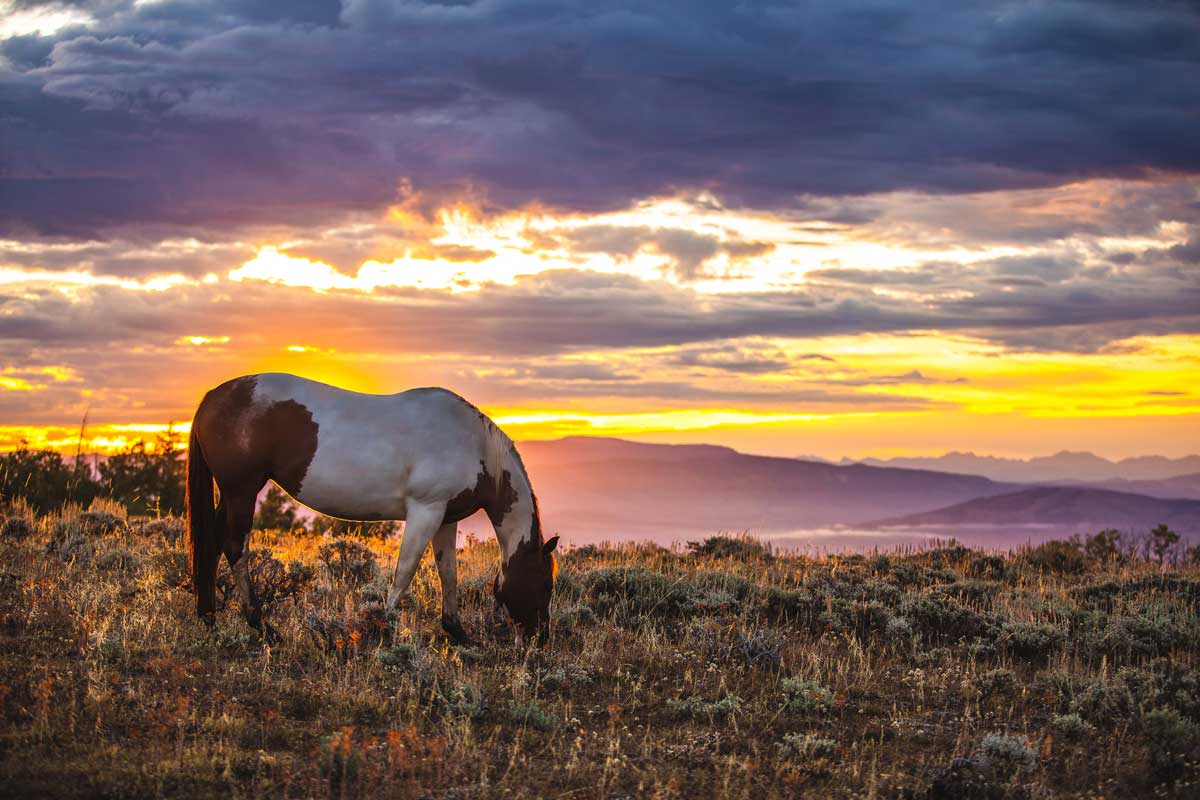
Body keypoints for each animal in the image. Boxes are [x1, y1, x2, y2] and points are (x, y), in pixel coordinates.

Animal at [186, 373, 558, 645]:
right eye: (545, 584)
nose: (540, 639)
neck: (474, 446)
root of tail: (214, 397)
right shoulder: (425, 511)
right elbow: (405, 571)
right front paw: (383, 627)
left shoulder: (444, 518)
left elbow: (448, 574)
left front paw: (458, 633)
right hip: (242, 491)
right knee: (235, 547)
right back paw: (261, 625)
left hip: (231, 494)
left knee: (212, 545)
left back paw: (209, 618)